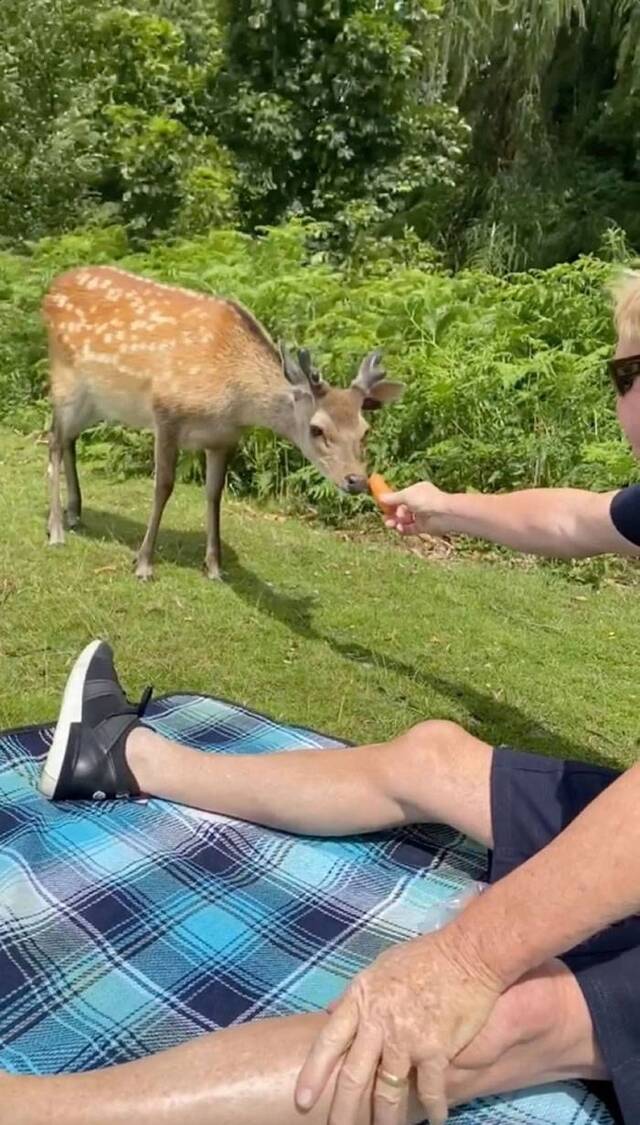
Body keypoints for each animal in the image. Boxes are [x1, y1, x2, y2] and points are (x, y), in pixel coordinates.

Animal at [43, 264, 404, 580]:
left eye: (365, 430)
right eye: (317, 429)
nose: (357, 480)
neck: (232, 400)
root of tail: (50, 289)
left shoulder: (225, 438)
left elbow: (214, 493)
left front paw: (215, 567)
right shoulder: (166, 415)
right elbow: (163, 486)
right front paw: (144, 563)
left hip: (97, 402)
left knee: (68, 439)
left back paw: (73, 514)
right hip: (65, 380)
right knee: (54, 441)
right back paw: (56, 529)